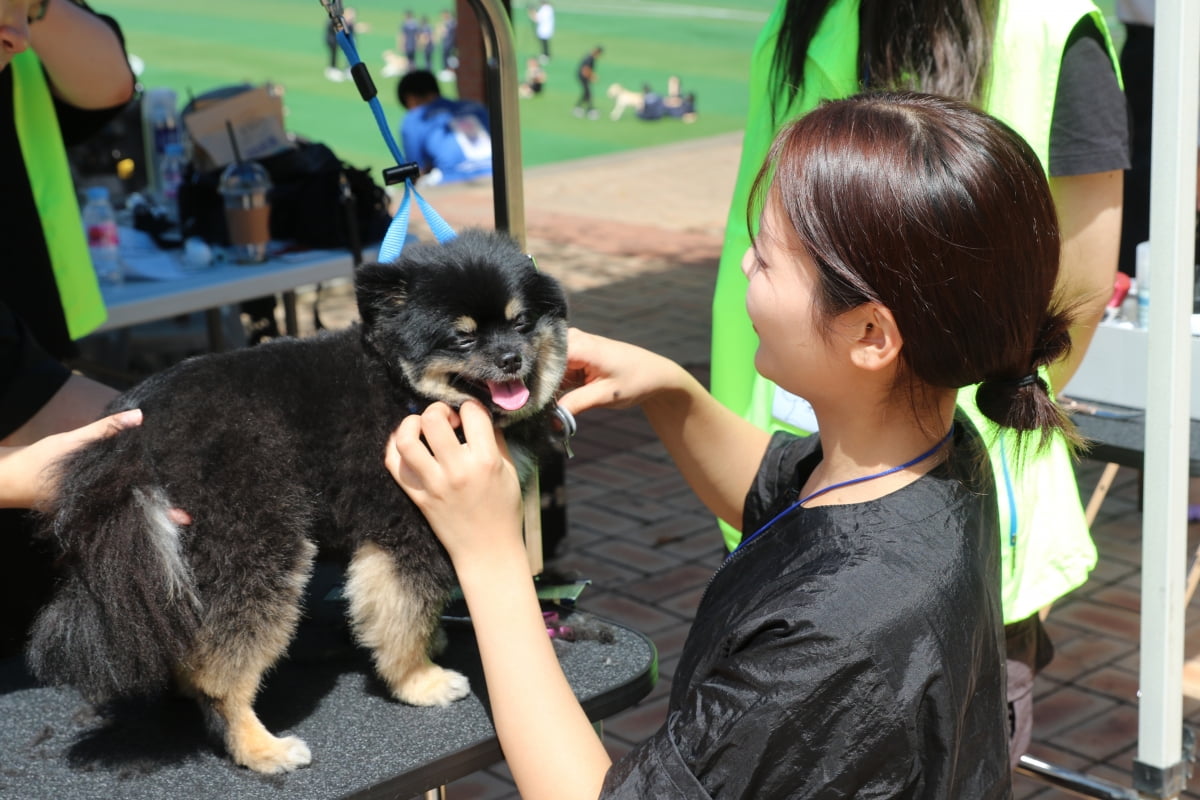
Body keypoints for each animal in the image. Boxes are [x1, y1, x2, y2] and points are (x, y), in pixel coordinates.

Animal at [25, 230, 568, 777]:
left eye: (521, 322)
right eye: (463, 338)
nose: (511, 360)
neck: (401, 386)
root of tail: (138, 431)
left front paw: (430, 644)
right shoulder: (406, 529)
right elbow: (403, 613)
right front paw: (418, 679)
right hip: (259, 536)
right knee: (224, 667)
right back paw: (258, 745)